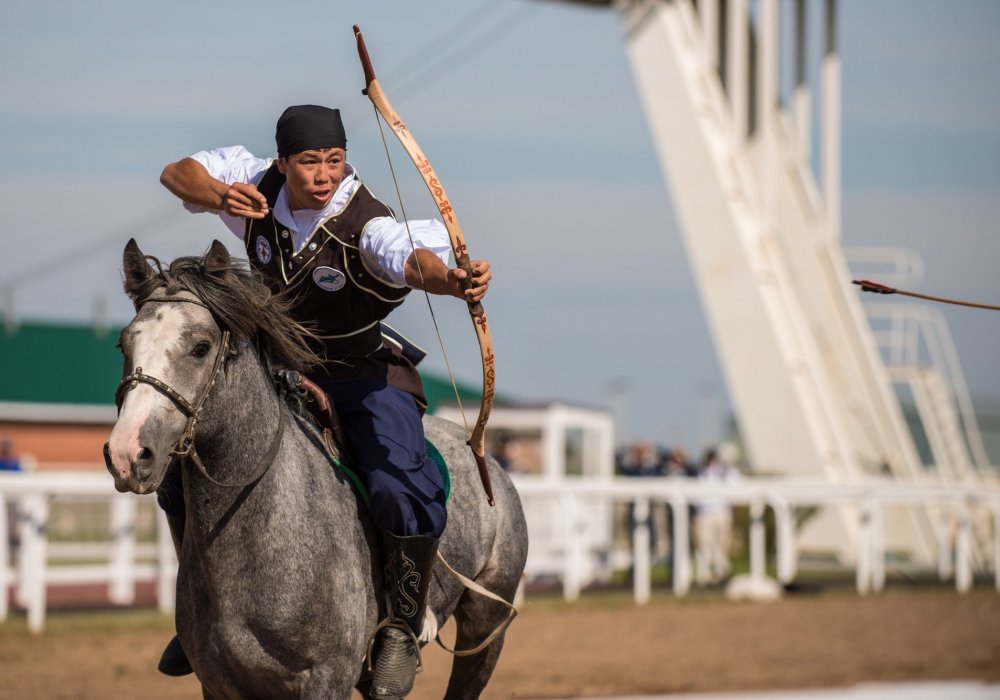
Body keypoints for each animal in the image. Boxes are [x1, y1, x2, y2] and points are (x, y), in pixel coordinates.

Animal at [105, 241, 532, 700]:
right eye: (124, 344)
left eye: (201, 346)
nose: (127, 453)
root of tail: (485, 460)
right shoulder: (218, 685)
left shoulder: (324, 680)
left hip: (485, 624)